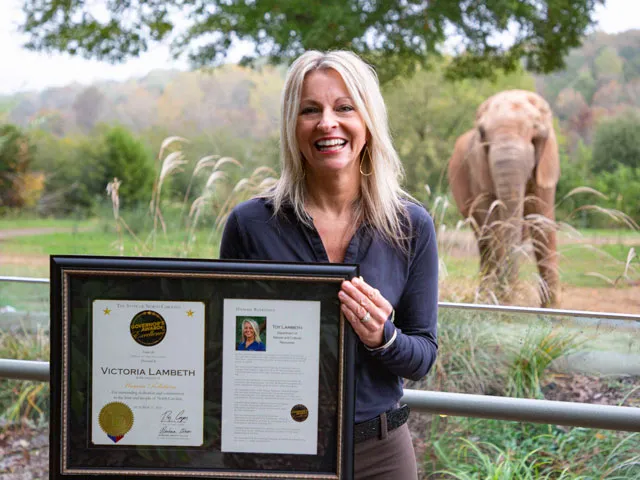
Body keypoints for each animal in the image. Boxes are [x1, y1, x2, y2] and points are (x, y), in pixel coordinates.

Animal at [444, 90, 560, 308]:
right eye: (482, 133)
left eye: (536, 134)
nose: (510, 296)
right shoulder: (477, 168)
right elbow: (494, 223)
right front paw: (503, 300)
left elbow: (543, 223)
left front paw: (551, 308)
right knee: (484, 243)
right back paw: (482, 296)